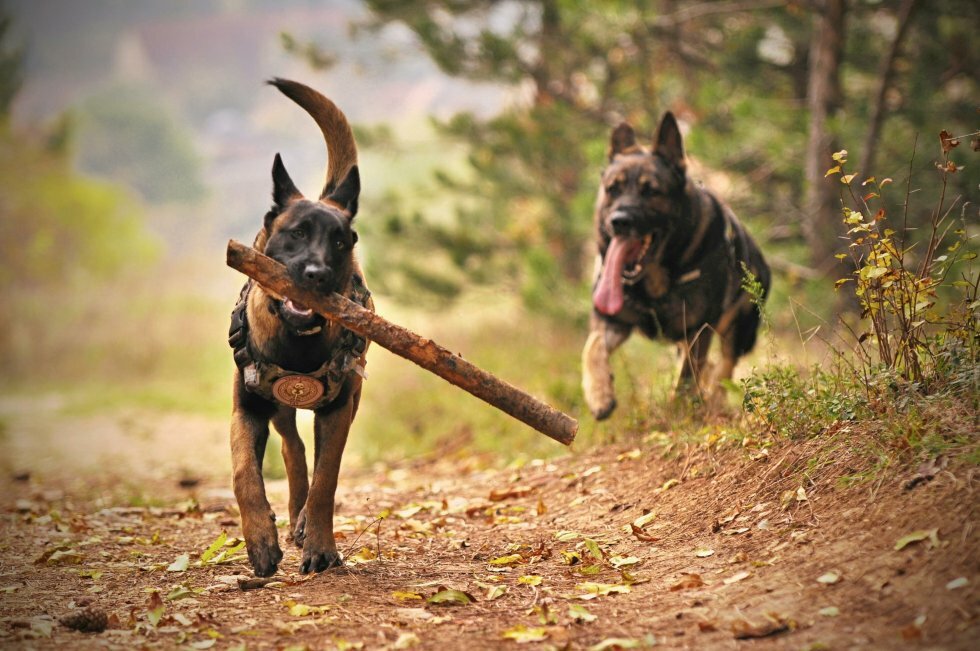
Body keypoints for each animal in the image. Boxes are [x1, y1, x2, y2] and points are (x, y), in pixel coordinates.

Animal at [228, 80, 374, 576]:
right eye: (295, 233)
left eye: (340, 241)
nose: (317, 274)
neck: (297, 342)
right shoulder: (248, 407)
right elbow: (244, 473)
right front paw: (260, 540)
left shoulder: (339, 409)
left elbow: (327, 480)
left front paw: (321, 546)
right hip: (277, 407)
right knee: (291, 448)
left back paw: (305, 523)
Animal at [580, 112, 768, 420]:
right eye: (612, 190)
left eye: (651, 191)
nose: (619, 221)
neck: (653, 281)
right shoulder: (612, 321)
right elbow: (592, 347)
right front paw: (599, 394)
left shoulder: (698, 331)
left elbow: (686, 380)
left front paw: (680, 412)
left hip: (738, 331)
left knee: (723, 368)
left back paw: (713, 401)